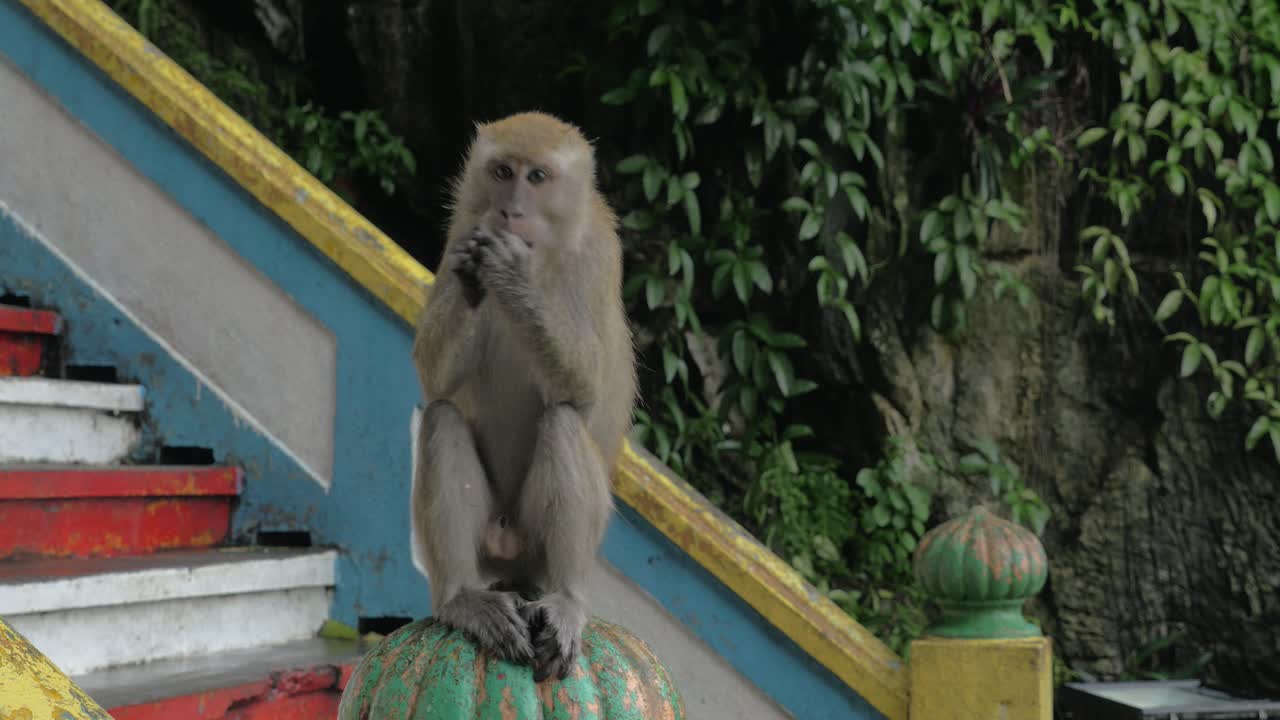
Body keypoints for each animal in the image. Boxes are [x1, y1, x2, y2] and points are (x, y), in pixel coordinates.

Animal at [411, 111, 637, 681]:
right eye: (502, 171)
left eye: (536, 177)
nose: (509, 210)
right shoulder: (461, 226)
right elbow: (435, 379)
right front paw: (475, 276)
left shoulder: (599, 256)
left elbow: (585, 388)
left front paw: (511, 276)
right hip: (492, 541)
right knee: (441, 417)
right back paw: (461, 599)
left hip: (547, 545)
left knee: (562, 420)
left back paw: (567, 600)